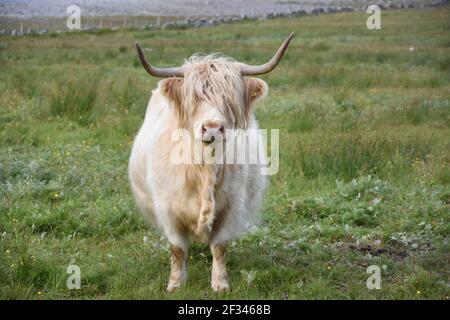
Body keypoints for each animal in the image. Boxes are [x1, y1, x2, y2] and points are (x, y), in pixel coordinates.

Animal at [128, 33, 294, 292]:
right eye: (194, 98)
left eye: (229, 99)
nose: (213, 127)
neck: (203, 169)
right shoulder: (167, 208)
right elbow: (177, 248)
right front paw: (175, 284)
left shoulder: (231, 207)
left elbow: (219, 246)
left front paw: (220, 283)